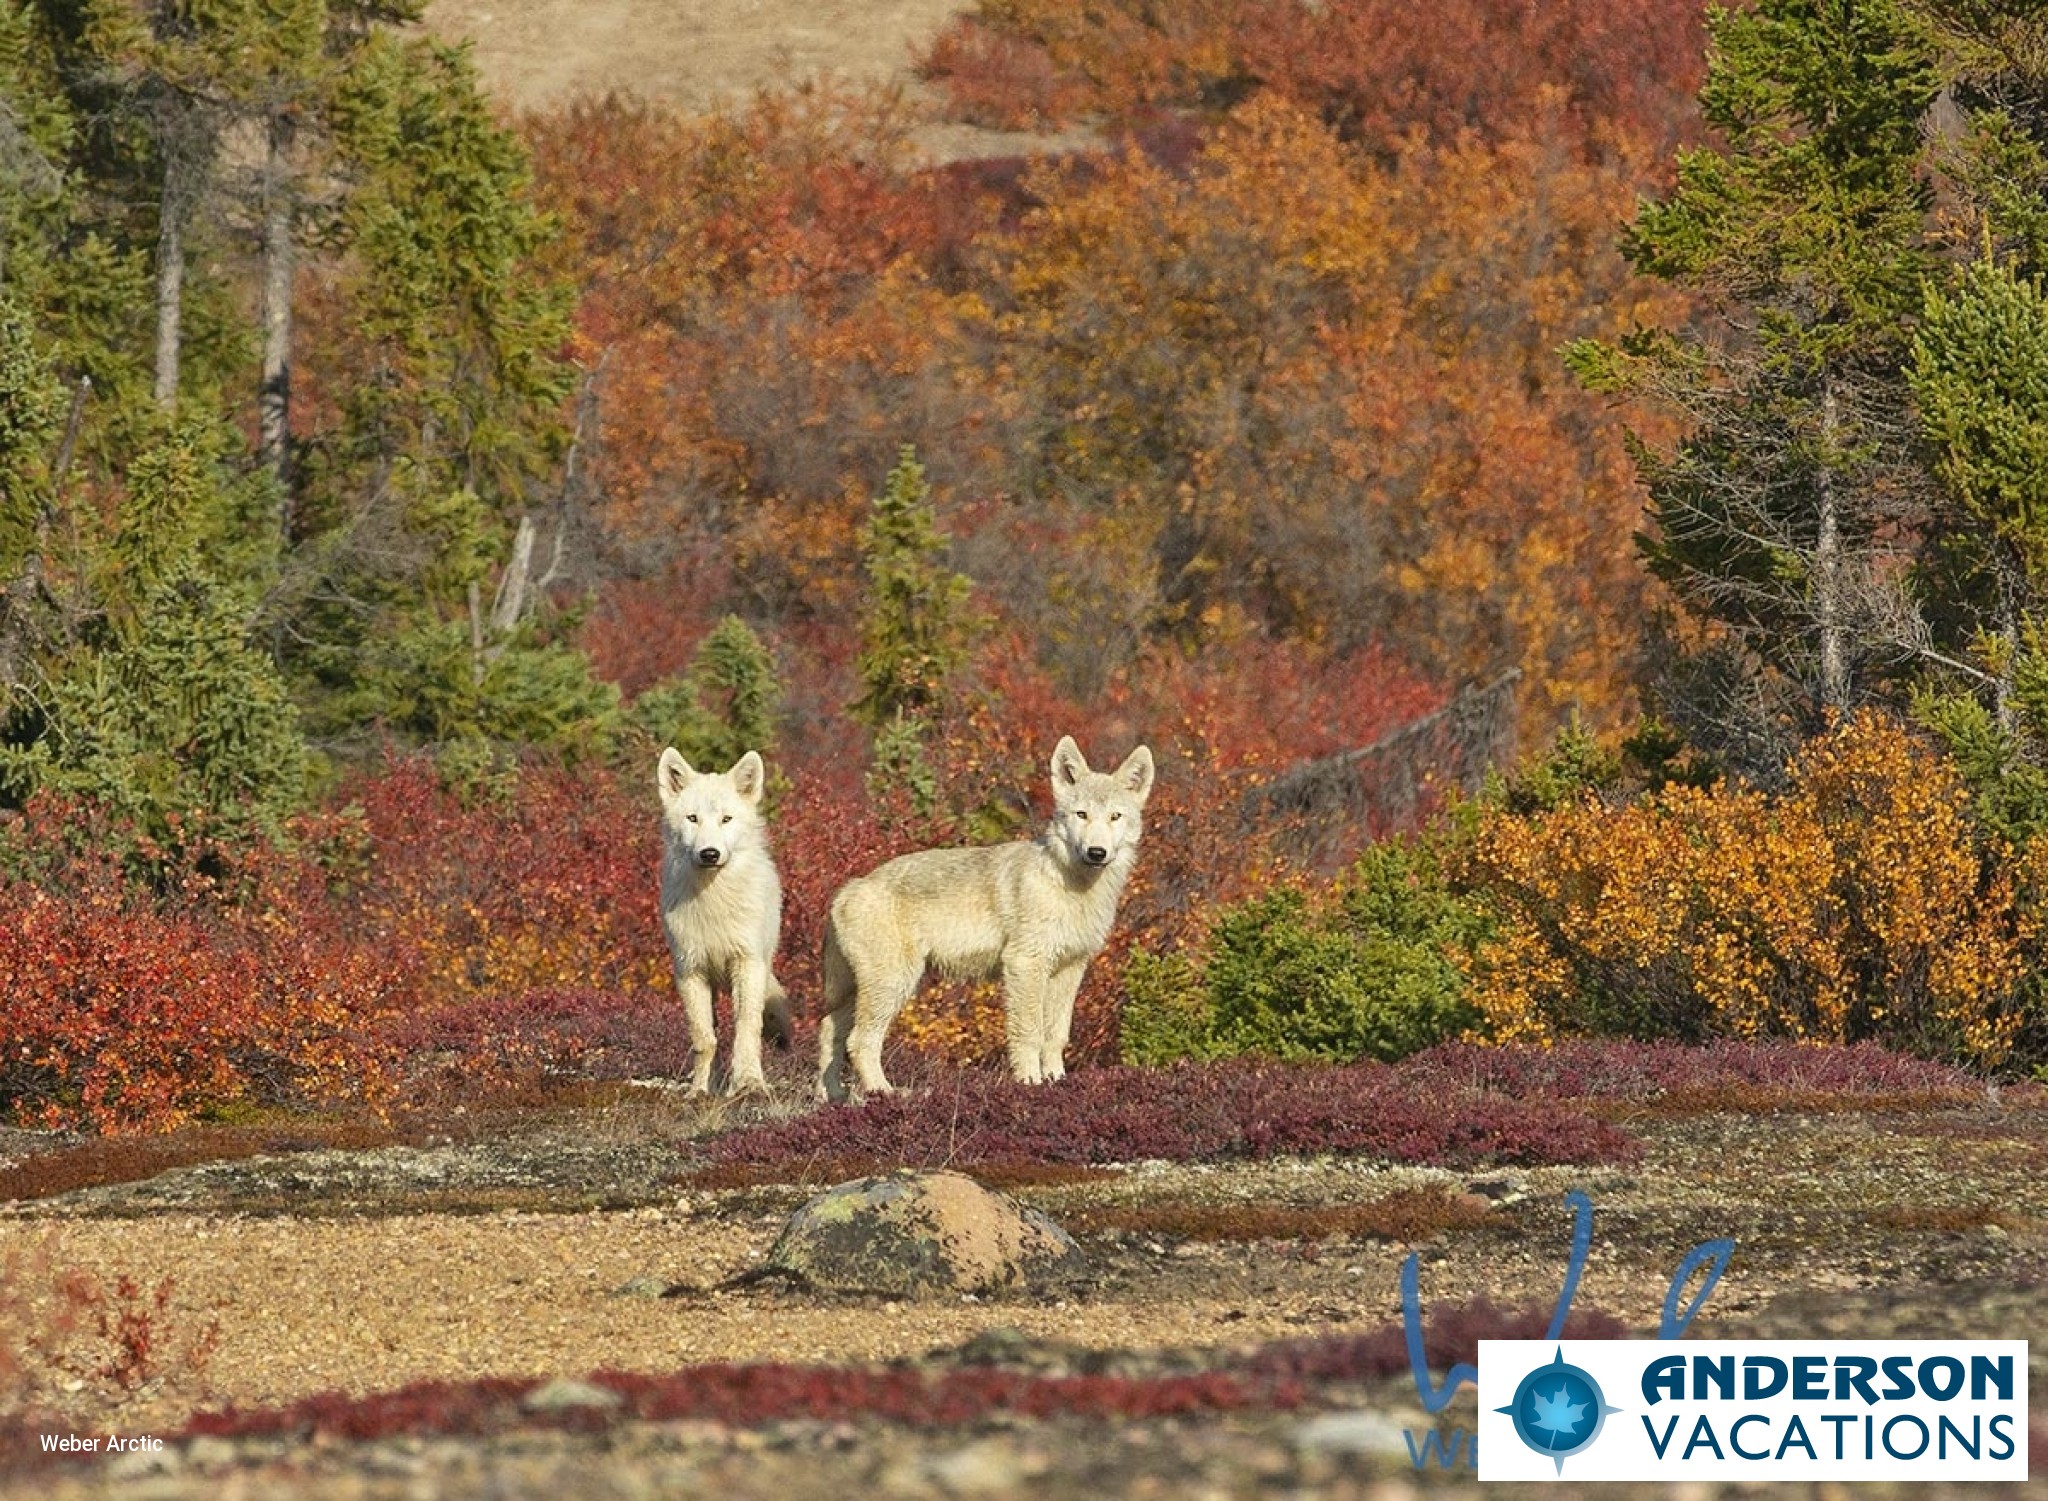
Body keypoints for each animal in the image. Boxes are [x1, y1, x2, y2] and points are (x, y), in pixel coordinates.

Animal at [655, 745, 790, 1089]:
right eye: (692, 818)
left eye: (726, 819)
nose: (710, 854)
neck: (713, 902)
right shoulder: (690, 971)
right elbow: (704, 1040)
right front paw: (700, 1090)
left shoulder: (747, 964)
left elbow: (746, 1029)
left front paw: (749, 1083)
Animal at [811, 737, 1155, 1097]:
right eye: (1082, 815)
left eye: (1115, 816)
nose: (1096, 853)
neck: (1073, 888)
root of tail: (847, 889)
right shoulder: (1024, 964)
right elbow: (1029, 1033)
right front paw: (1030, 1083)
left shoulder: (1070, 969)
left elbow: (1056, 1036)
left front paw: (1057, 1082)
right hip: (894, 983)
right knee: (859, 1041)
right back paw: (885, 1093)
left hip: (865, 990)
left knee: (828, 1030)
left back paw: (832, 1097)